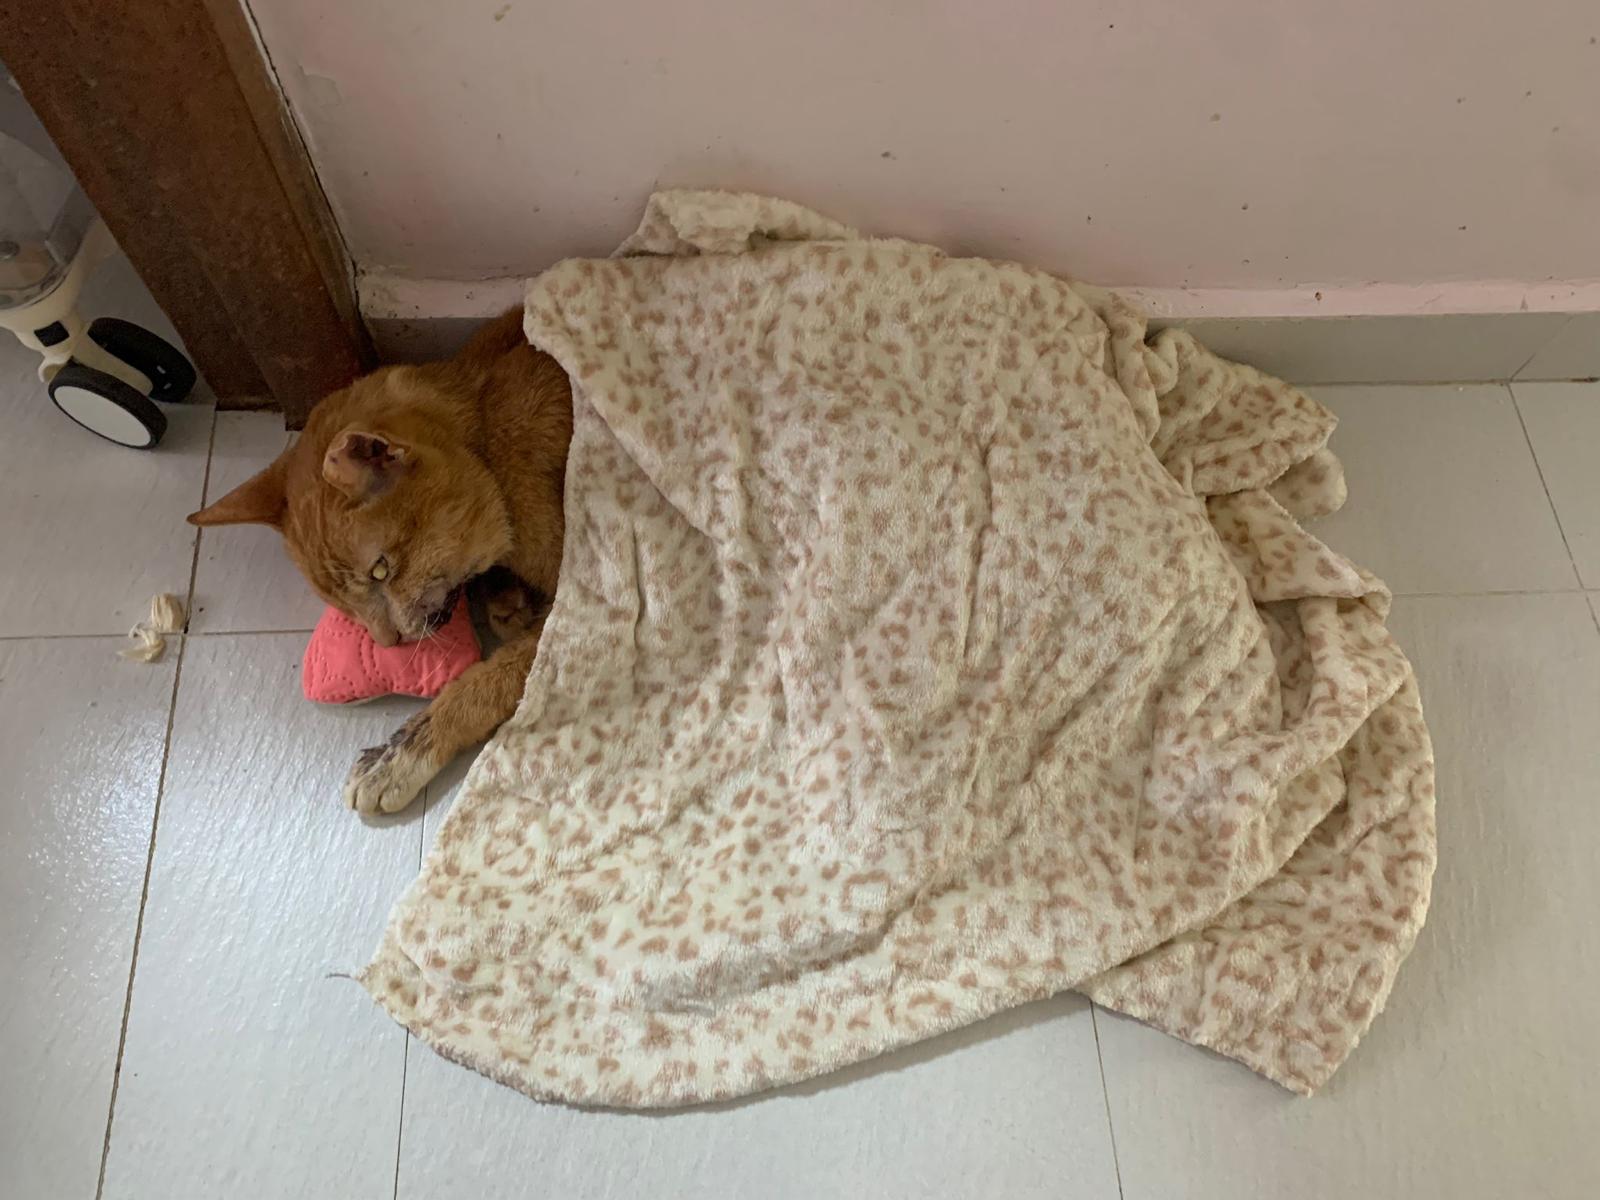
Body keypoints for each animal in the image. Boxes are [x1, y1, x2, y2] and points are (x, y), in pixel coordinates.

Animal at [188, 307, 572, 814]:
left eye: (381, 570)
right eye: (341, 603)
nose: (388, 644)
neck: (484, 430)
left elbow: (490, 679)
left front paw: (402, 754)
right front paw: (506, 598)